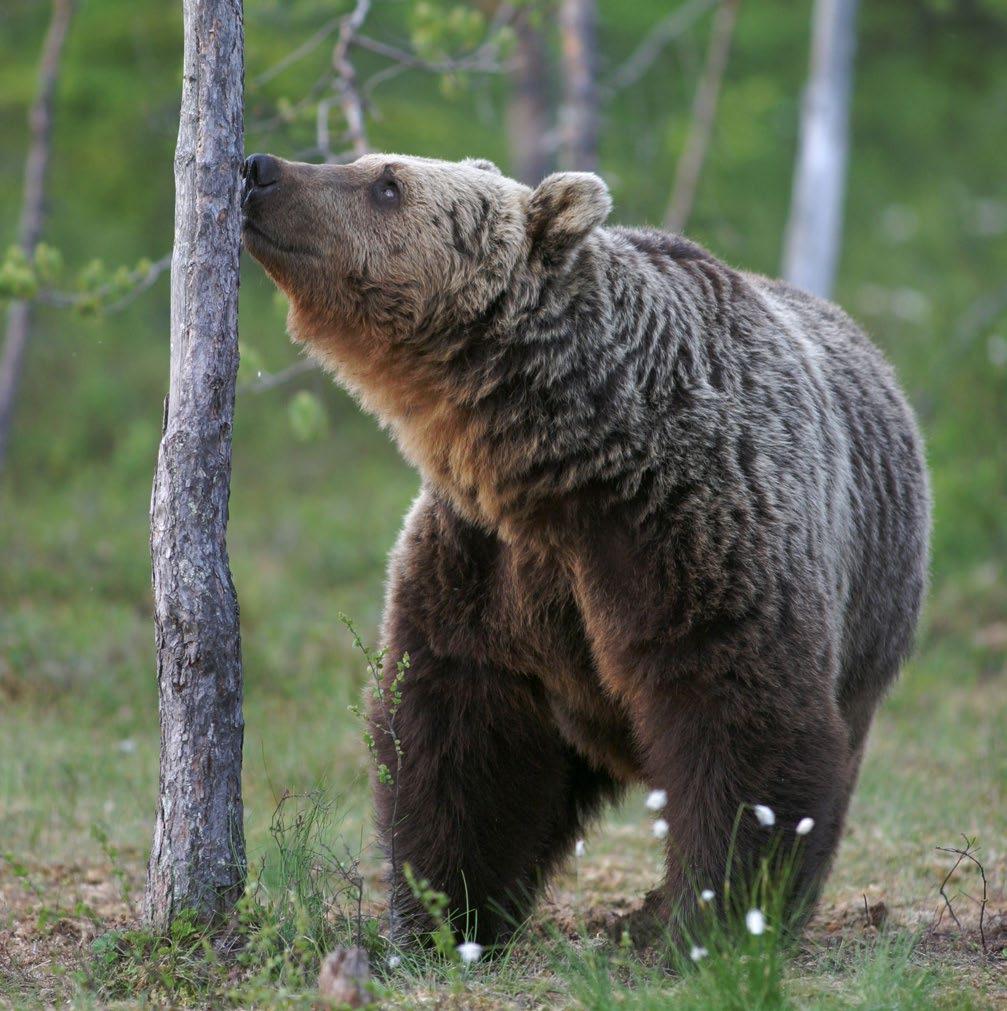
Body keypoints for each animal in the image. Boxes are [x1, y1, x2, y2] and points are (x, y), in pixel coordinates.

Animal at [239, 149, 934, 946]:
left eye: (387, 183)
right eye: (363, 163)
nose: (260, 168)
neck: (565, 464)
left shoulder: (697, 534)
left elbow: (743, 723)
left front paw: (716, 920)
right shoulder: (483, 563)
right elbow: (457, 743)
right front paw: (441, 915)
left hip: (872, 618)